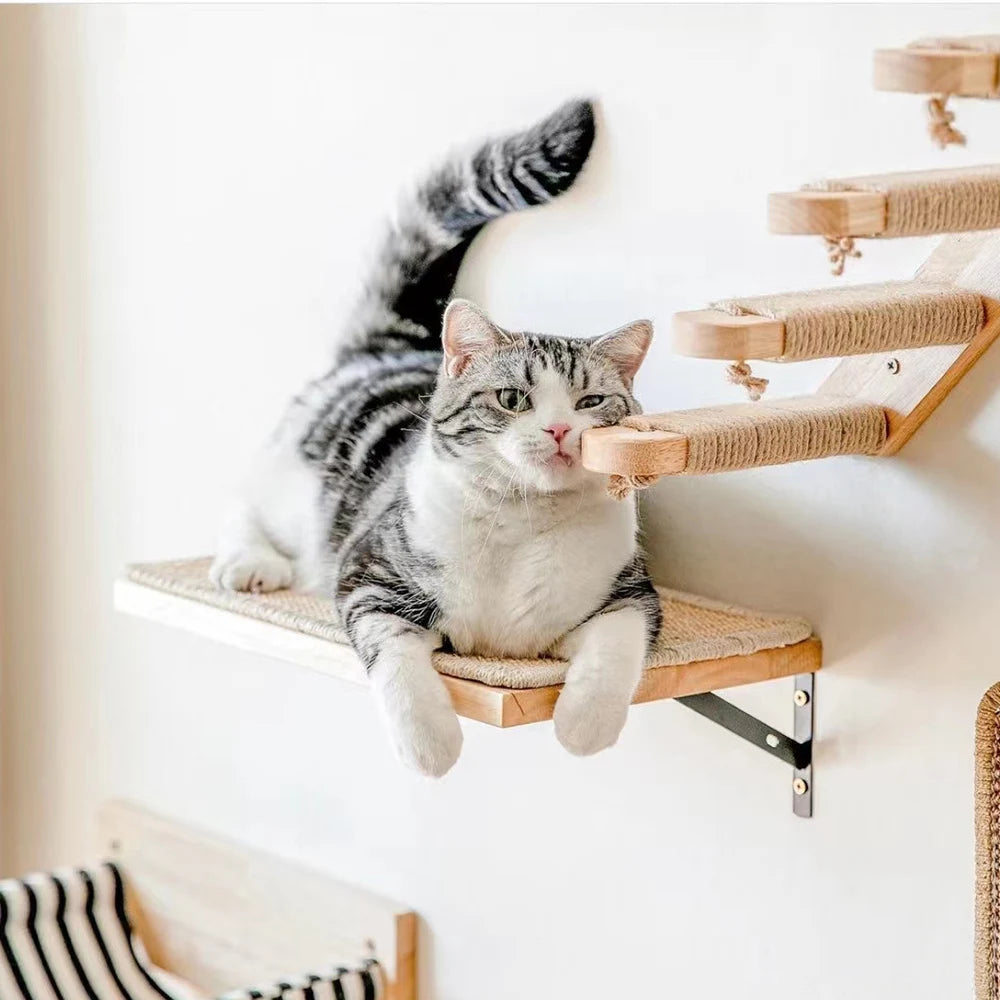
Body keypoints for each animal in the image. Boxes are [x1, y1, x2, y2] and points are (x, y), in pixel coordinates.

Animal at [209, 99, 664, 772]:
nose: (560, 429)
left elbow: (617, 650)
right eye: (512, 399)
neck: (521, 523)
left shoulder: (631, 593)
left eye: (590, 402)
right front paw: (429, 746)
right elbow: (398, 663)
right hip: (298, 488)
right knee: (242, 503)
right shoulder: (370, 575)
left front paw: (584, 727)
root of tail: (390, 348)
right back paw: (250, 563)